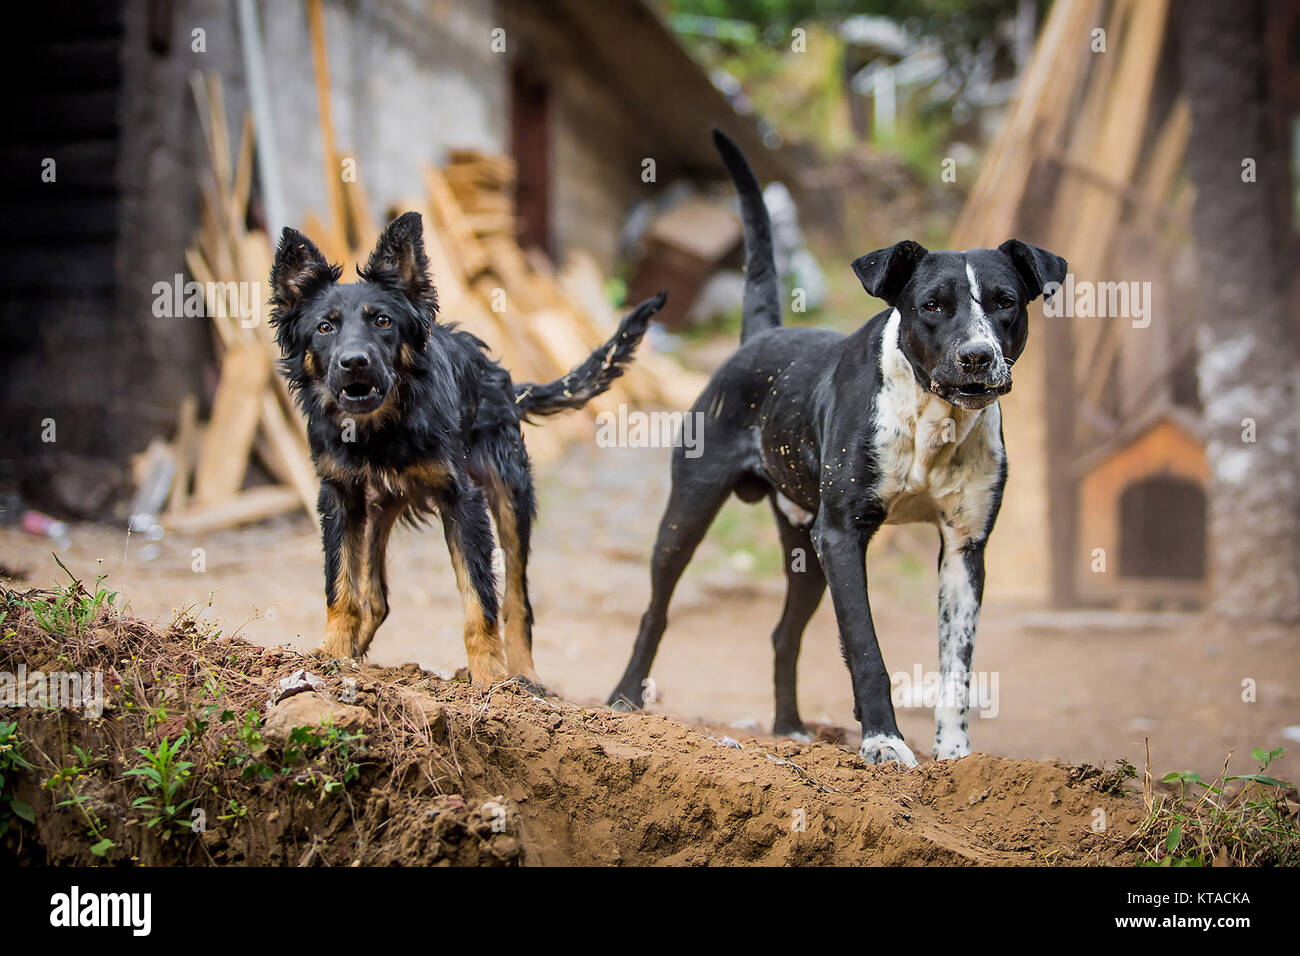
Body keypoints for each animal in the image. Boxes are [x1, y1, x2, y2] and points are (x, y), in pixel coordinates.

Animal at [269, 213, 665, 686]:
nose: (354, 362)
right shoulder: (339, 497)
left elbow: (481, 601)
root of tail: (501, 378)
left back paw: (524, 677)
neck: (380, 430)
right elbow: (341, 588)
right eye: (324, 328)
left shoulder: (463, 501)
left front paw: (489, 678)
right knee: (376, 598)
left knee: (517, 601)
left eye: (382, 321)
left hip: (511, 495)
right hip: (379, 508)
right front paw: (331, 656)